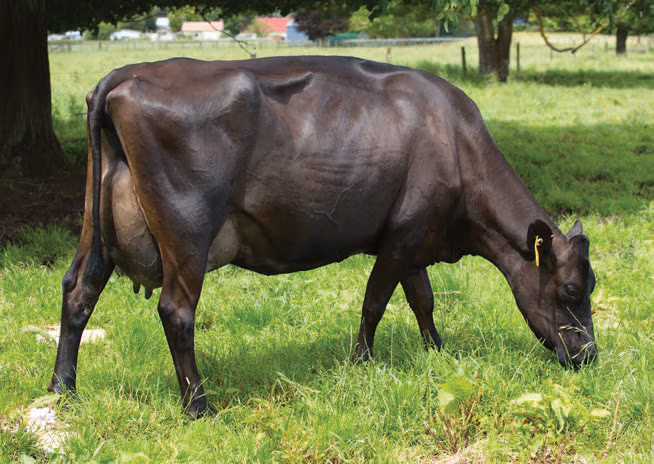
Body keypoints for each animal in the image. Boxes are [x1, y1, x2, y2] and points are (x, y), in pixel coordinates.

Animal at [49, 56, 597, 417]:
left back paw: (62, 389)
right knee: (176, 312)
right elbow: (375, 302)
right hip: (187, 231)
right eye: (570, 289)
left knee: (78, 291)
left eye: (592, 287)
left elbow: (423, 300)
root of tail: (123, 75)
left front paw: (437, 351)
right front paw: (361, 362)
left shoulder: (417, 235)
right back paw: (200, 406)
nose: (589, 356)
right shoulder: (401, 237)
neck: (457, 143)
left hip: (97, 225)